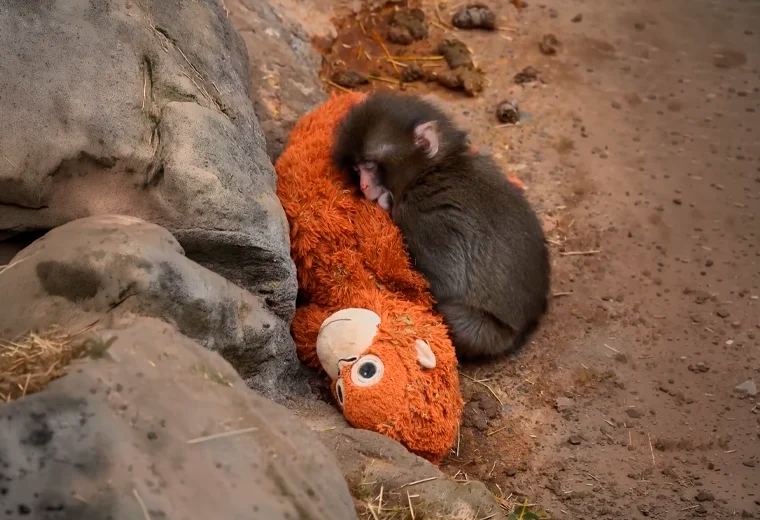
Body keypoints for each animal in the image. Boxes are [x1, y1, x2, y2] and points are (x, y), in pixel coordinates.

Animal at [333, 92, 550, 360]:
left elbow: (444, 285)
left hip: (486, 334)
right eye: (357, 168)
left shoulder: (425, 217)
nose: (363, 186)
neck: (429, 170)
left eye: (370, 166)